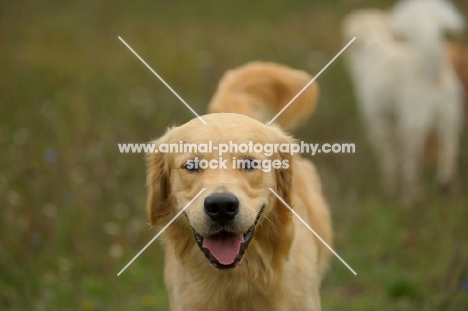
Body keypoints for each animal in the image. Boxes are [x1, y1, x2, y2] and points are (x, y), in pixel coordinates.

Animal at [342, 0, 466, 206]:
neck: (375, 46)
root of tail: (432, 72)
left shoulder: (379, 123)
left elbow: (389, 161)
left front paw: (388, 189)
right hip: (448, 125)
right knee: (447, 162)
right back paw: (445, 190)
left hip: (412, 129)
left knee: (411, 170)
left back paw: (409, 200)